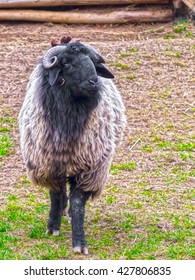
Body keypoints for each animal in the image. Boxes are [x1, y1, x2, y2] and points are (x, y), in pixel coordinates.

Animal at [18, 36, 126, 255]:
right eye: (66, 63)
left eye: (93, 62)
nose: (94, 81)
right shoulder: (48, 165)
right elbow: (56, 195)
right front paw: (53, 227)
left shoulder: (91, 169)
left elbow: (77, 204)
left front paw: (79, 242)